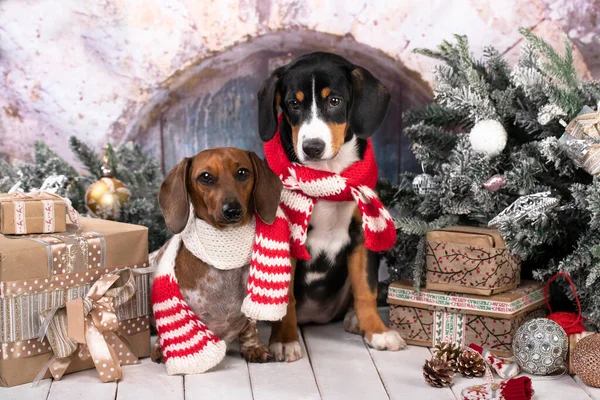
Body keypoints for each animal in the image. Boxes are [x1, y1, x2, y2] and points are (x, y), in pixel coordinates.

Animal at [149, 147, 282, 366]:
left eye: (243, 172)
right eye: (205, 177)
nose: (233, 210)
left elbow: (250, 327)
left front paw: (253, 347)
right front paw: (163, 347)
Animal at [258, 50, 408, 362]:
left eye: (335, 101)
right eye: (293, 104)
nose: (312, 147)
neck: (326, 176)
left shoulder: (363, 231)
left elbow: (366, 288)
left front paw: (377, 331)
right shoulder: (287, 236)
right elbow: (286, 297)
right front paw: (284, 340)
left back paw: (354, 319)